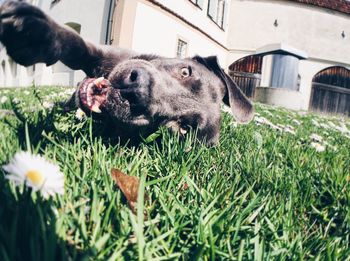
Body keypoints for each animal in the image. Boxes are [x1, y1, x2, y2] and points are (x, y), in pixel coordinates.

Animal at [0, 0, 253, 144]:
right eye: (185, 72)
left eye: (182, 128)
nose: (136, 90)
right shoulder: (107, 54)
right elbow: (77, 45)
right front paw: (36, 32)